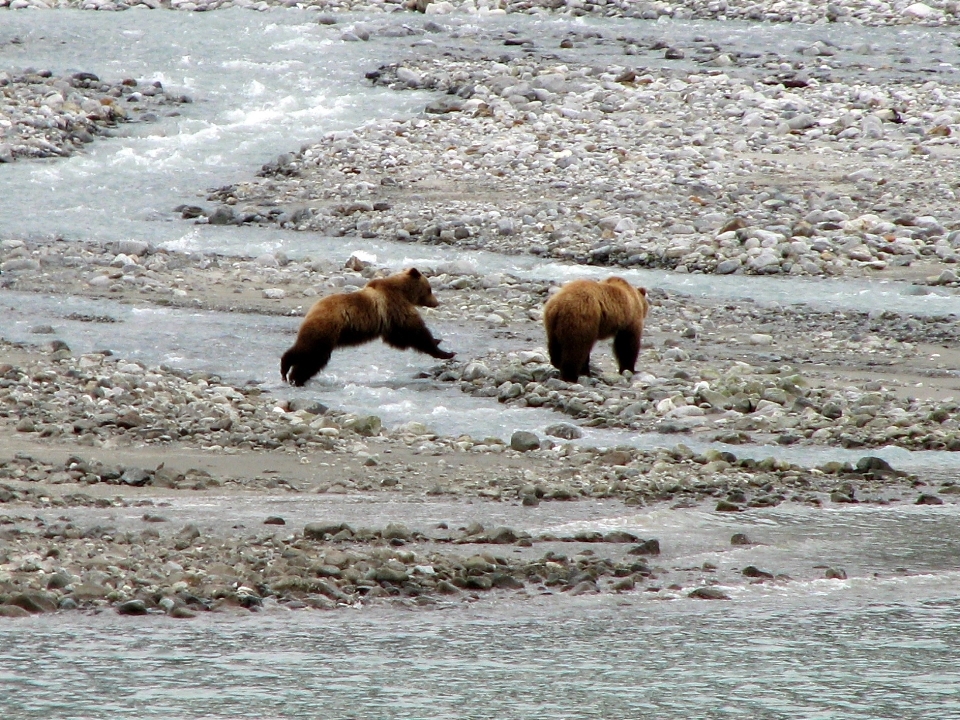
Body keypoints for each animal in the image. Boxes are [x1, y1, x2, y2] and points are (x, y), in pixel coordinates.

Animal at [280, 268, 456, 386]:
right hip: (327, 328)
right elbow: (415, 333)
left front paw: (440, 342)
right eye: (430, 289)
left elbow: (398, 339)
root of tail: (312, 309)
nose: (436, 302)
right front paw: (445, 351)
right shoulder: (395, 307)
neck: (404, 292)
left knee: (310, 356)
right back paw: (289, 371)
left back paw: (293, 376)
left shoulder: (389, 321)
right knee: (312, 354)